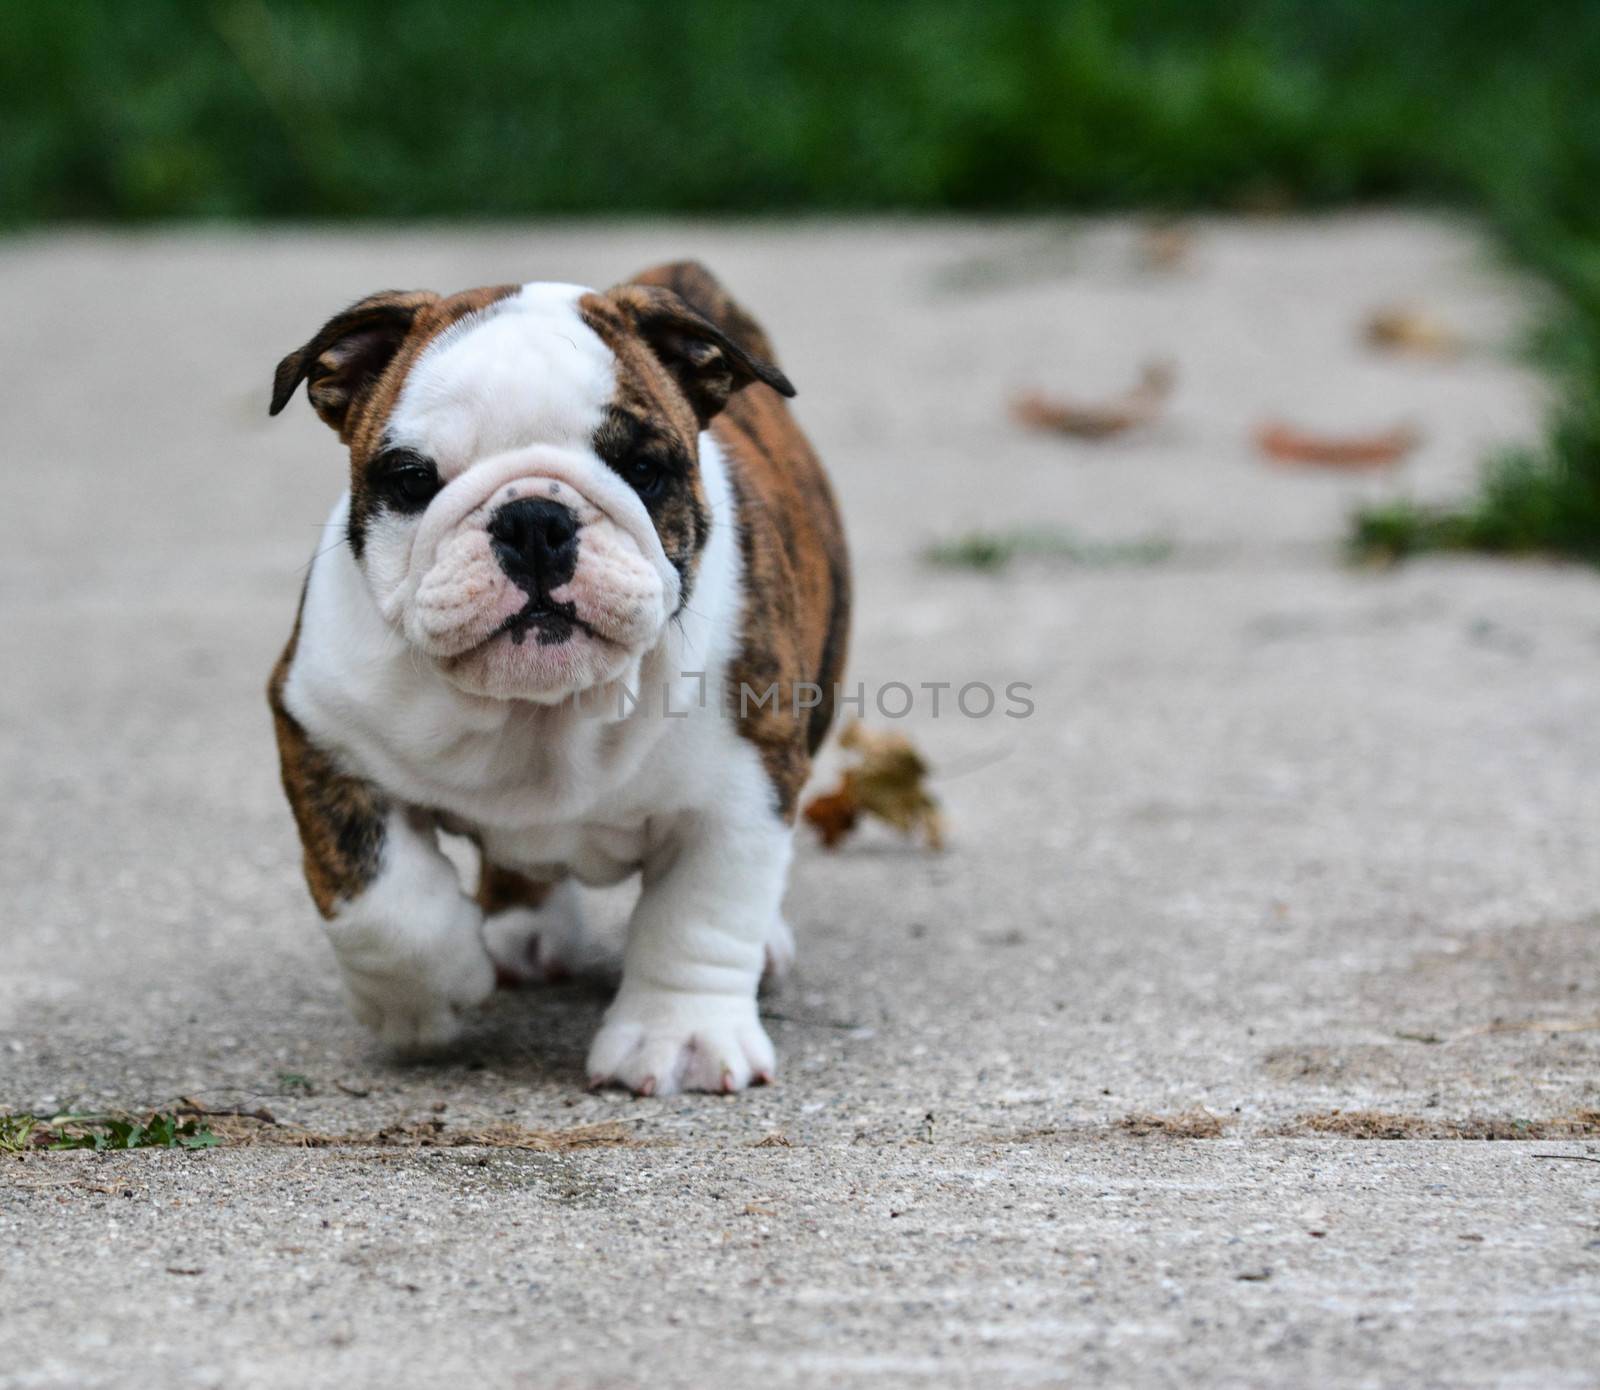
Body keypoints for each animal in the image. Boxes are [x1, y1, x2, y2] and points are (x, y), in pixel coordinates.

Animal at [265, 262, 851, 1094]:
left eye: (644, 470)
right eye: (411, 479)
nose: (535, 520)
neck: (541, 710)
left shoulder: (743, 782)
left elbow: (702, 913)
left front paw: (681, 1038)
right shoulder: (322, 736)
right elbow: (378, 899)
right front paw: (427, 996)